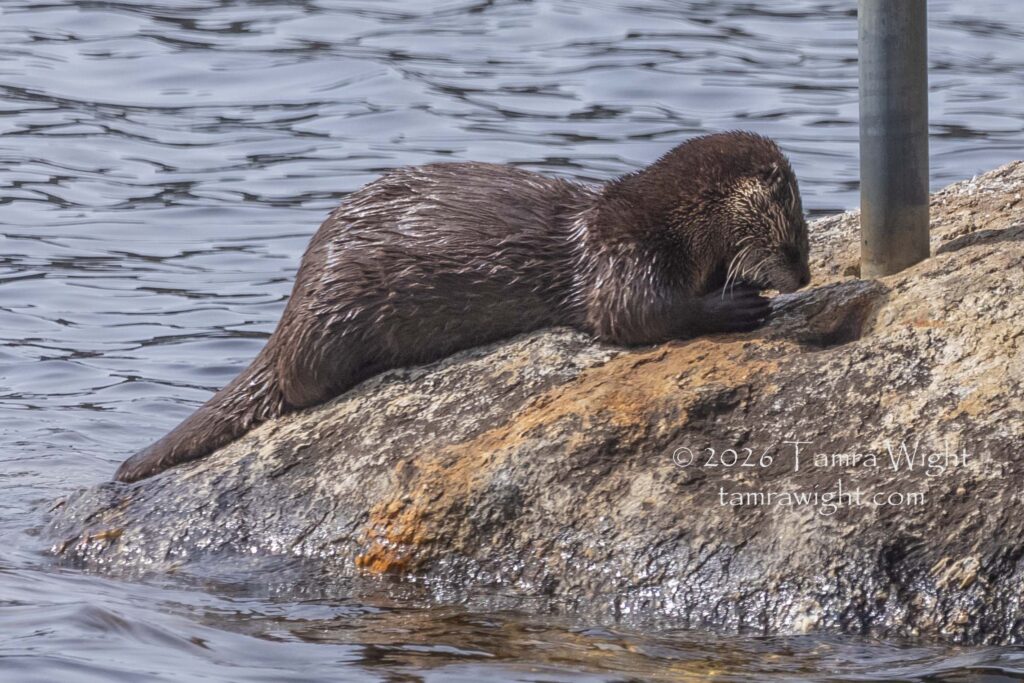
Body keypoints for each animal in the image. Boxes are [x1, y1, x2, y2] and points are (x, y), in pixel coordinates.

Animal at [115, 131, 810, 483]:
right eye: (794, 241)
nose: (803, 278)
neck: (672, 223)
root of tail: (296, 298)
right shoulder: (624, 259)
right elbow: (636, 316)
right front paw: (739, 305)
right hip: (333, 315)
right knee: (298, 382)